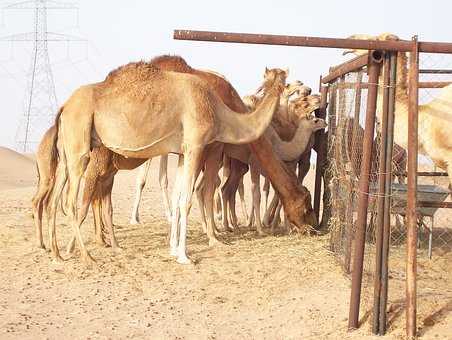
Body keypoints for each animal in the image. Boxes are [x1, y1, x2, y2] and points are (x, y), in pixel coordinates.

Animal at [46, 61, 286, 266]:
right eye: (287, 82)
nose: (282, 88)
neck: (218, 111)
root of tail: (65, 106)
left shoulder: (182, 151)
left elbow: (178, 197)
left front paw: (173, 250)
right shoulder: (195, 144)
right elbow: (186, 201)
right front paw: (184, 256)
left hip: (67, 149)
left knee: (54, 198)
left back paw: (56, 254)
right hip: (79, 141)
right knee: (71, 201)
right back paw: (86, 256)